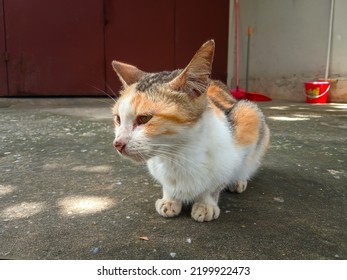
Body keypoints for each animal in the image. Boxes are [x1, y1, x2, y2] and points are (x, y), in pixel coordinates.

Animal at [111, 40, 270, 222]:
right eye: (118, 119)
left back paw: (239, 181)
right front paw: (170, 199)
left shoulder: (241, 130)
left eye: (144, 118)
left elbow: (216, 184)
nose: (117, 143)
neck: (178, 154)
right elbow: (168, 186)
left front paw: (206, 204)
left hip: (250, 112)